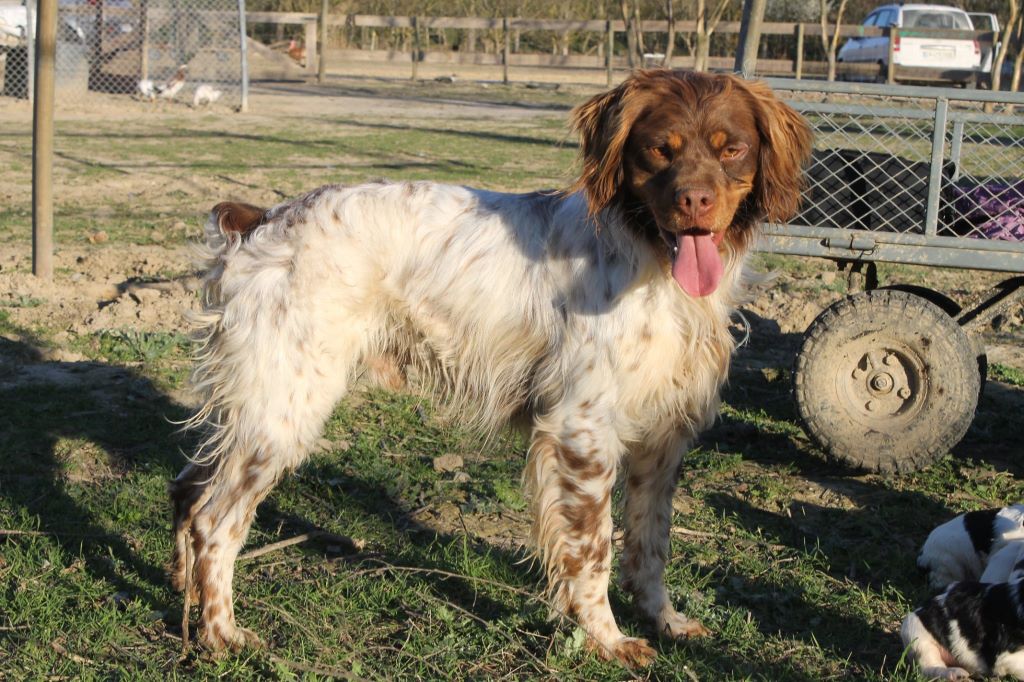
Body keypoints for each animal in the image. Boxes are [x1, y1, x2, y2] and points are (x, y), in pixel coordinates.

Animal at [172, 70, 811, 663]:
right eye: (660, 148)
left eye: (732, 149)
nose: (695, 202)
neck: (649, 255)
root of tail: (264, 216)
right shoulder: (582, 432)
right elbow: (594, 551)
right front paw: (606, 638)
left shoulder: (663, 437)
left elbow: (650, 544)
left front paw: (664, 620)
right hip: (283, 409)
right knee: (215, 521)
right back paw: (220, 632)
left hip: (256, 409)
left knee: (187, 488)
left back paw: (182, 593)